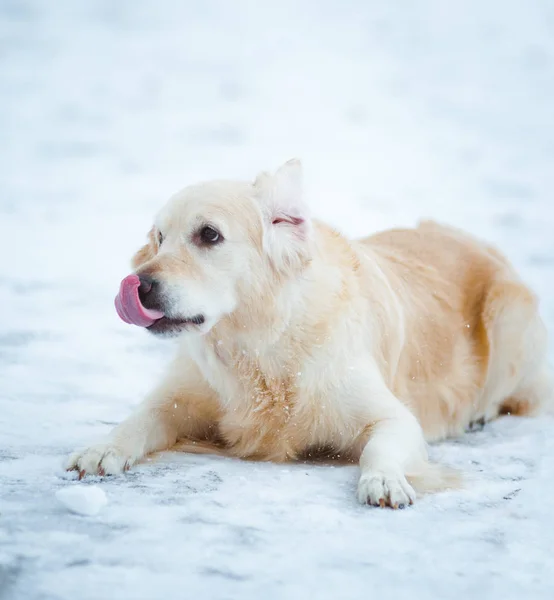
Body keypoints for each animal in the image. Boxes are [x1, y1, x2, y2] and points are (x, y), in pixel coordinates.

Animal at [67, 158, 548, 506]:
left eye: (209, 234)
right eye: (160, 238)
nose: (138, 285)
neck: (259, 344)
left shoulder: (394, 417)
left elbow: (379, 447)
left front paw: (384, 481)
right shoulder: (181, 396)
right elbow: (139, 418)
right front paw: (101, 449)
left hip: (507, 312)